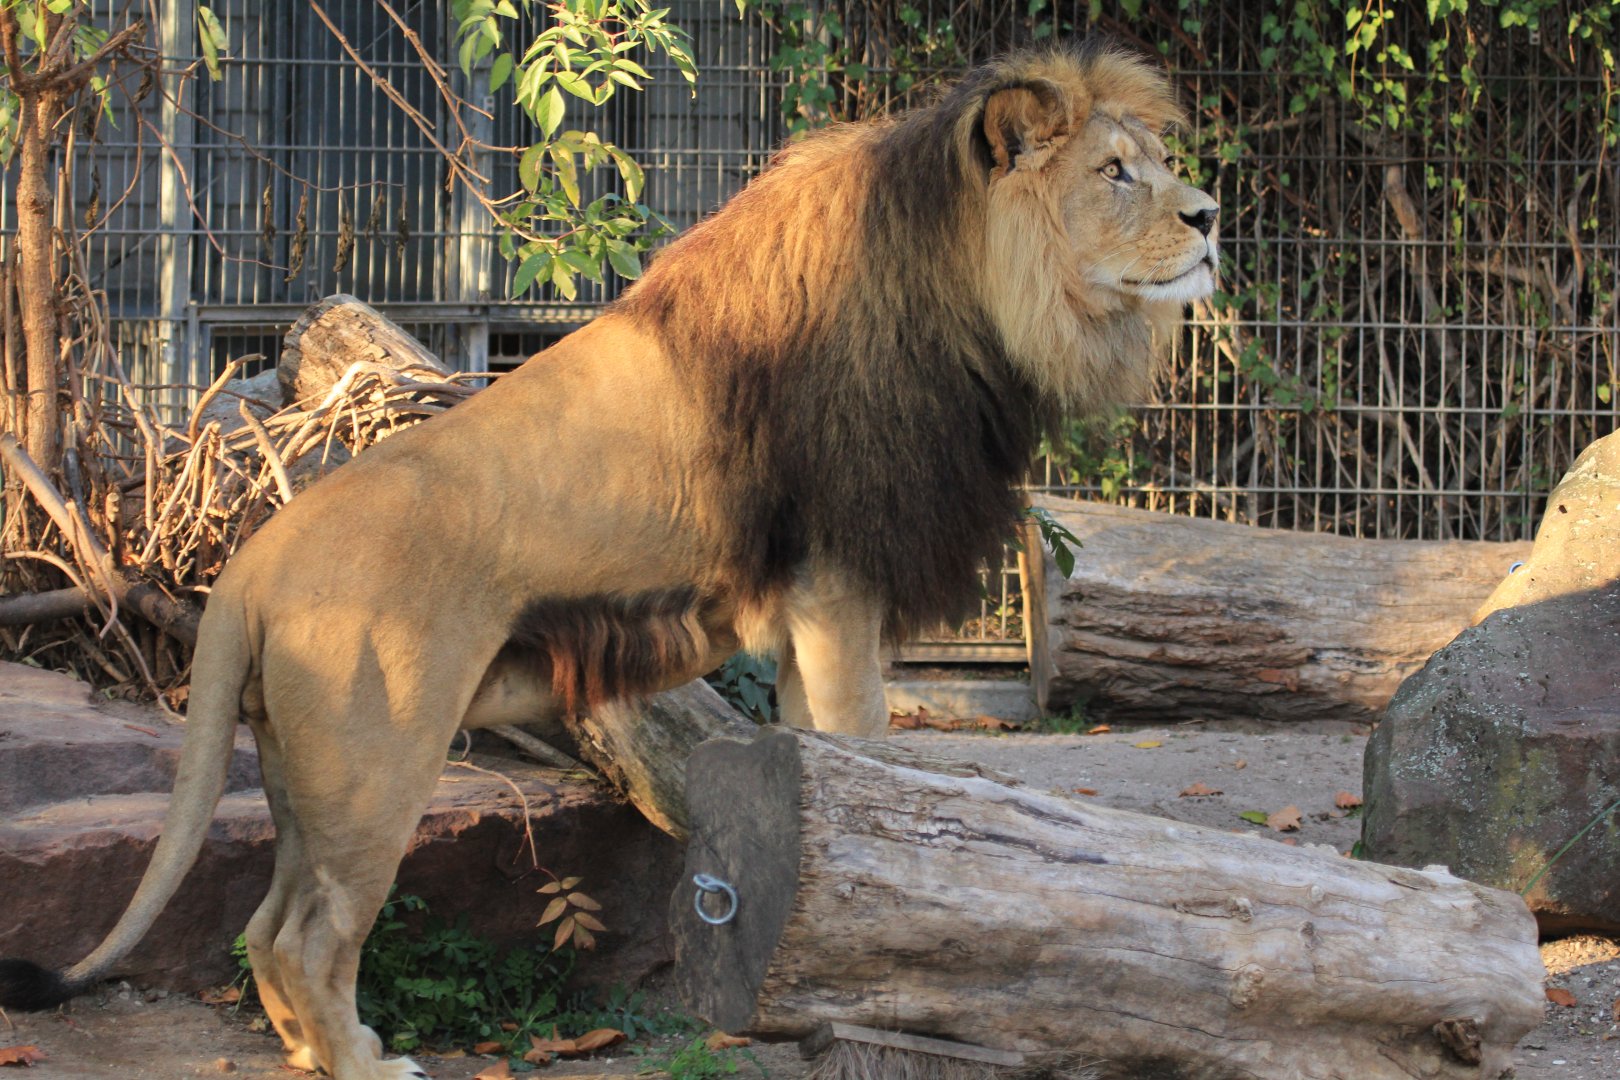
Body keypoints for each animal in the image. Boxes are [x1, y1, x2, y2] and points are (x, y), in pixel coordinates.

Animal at [0, 42, 1216, 1079]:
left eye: (1159, 162)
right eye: (1114, 172)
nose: (1210, 219)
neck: (970, 298)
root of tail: (253, 563)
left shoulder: (807, 609)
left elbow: (812, 750)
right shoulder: (838, 583)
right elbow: (864, 742)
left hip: (309, 771)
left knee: (264, 925)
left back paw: (316, 1051)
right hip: (378, 761)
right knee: (311, 934)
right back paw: (365, 1062)